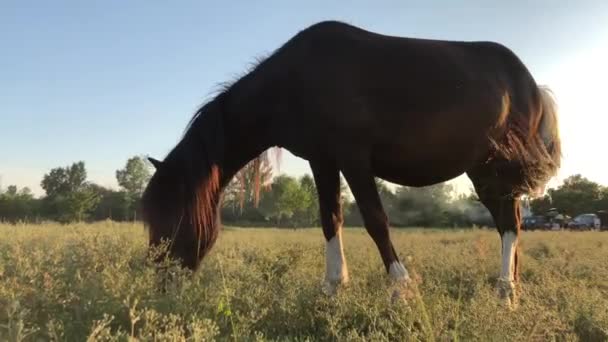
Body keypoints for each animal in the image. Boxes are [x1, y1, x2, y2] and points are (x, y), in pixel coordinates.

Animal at [142, 20, 560, 308]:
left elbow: (376, 221)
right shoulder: (322, 160)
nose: (159, 280)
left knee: (509, 225)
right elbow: (331, 219)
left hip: (496, 169)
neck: (296, 80)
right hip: (484, 171)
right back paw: (509, 290)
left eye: (173, 216)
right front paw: (332, 287)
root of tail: (532, 85)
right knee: (509, 223)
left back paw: (505, 292)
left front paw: (401, 289)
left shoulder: (354, 158)